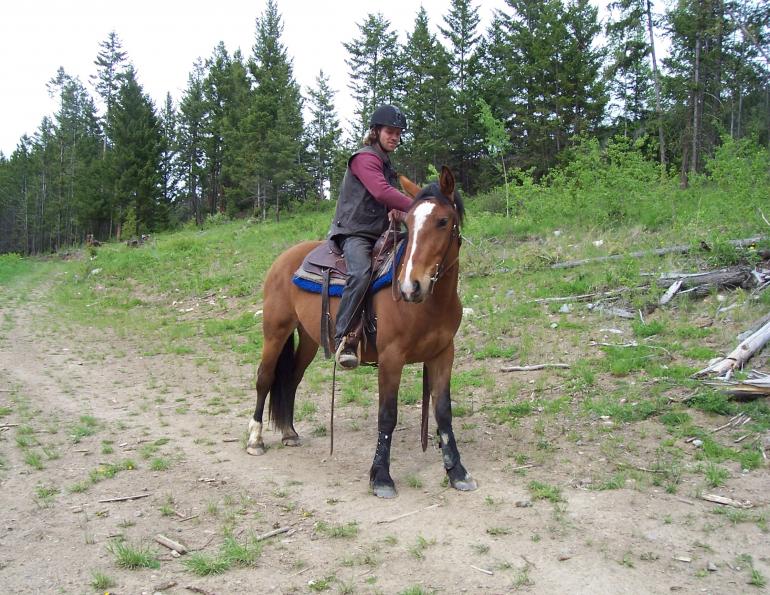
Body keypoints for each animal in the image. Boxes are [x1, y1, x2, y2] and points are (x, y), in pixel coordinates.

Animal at [246, 166, 477, 499]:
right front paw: (381, 476)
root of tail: (283, 259)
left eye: (443, 221)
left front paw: (456, 471)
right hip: (275, 332)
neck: (430, 305)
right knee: (265, 378)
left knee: (291, 379)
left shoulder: (444, 353)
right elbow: (387, 414)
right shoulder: (391, 358)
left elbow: (443, 411)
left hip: (309, 340)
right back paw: (255, 439)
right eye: (409, 223)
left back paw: (289, 432)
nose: (410, 287)